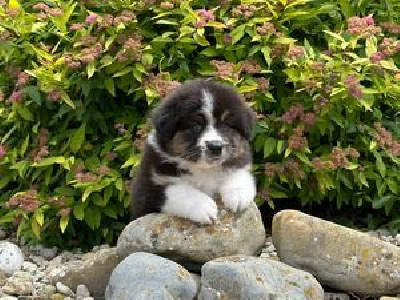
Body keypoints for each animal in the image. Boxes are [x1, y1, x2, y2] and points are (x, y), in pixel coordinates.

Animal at [131, 78, 256, 224]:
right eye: (196, 125)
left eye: (225, 125)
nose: (215, 146)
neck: (204, 170)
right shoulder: (148, 189)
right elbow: (177, 191)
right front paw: (204, 207)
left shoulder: (239, 158)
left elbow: (238, 171)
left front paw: (238, 195)